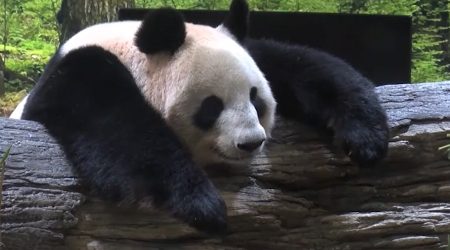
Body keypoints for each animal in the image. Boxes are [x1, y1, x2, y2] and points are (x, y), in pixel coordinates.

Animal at [10, 0, 390, 234]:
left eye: (255, 99)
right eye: (212, 106)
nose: (251, 143)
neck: (131, 52)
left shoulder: (254, 53)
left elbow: (302, 65)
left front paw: (365, 138)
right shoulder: (76, 79)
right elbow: (120, 130)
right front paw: (200, 203)